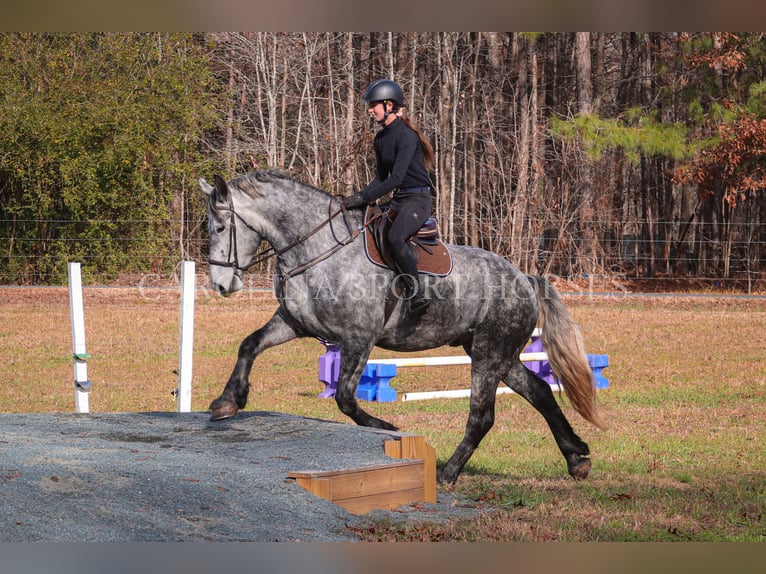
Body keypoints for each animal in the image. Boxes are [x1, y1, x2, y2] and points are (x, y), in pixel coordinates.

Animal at [200, 169, 608, 484]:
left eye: (220, 227)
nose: (221, 285)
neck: (316, 249)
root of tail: (523, 277)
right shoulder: (294, 323)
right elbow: (249, 344)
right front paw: (227, 402)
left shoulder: (359, 339)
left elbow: (345, 399)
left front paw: (388, 428)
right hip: (498, 355)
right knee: (540, 391)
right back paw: (577, 458)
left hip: (489, 355)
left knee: (482, 416)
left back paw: (447, 473)